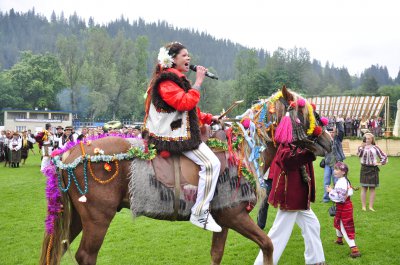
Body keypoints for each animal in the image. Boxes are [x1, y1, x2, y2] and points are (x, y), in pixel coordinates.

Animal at [39, 86, 332, 264]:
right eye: (308, 113)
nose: (329, 141)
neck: (242, 149)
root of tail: (68, 153)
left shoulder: (223, 220)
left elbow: (216, 254)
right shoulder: (235, 216)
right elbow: (268, 245)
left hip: (79, 218)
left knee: (60, 249)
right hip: (98, 218)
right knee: (86, 256)